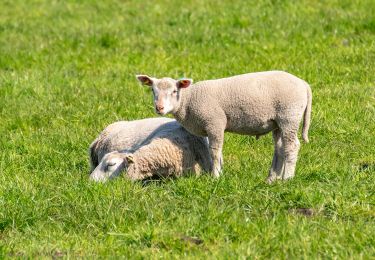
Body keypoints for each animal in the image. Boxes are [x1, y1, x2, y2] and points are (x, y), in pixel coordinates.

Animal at [137, 70, 312, 182]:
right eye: (153, 91)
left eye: (174, 91)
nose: (159, 108)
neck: (188, 100)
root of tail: (304, 84)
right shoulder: (212, 126)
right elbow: (217, 152)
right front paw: (220, 172)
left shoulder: (215, 122)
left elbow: (214, 151)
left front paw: (215, 177)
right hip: (278, 123)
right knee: (280, 148)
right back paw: (272, 179)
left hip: (289, 116)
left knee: (292, 146)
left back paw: (287, 178)